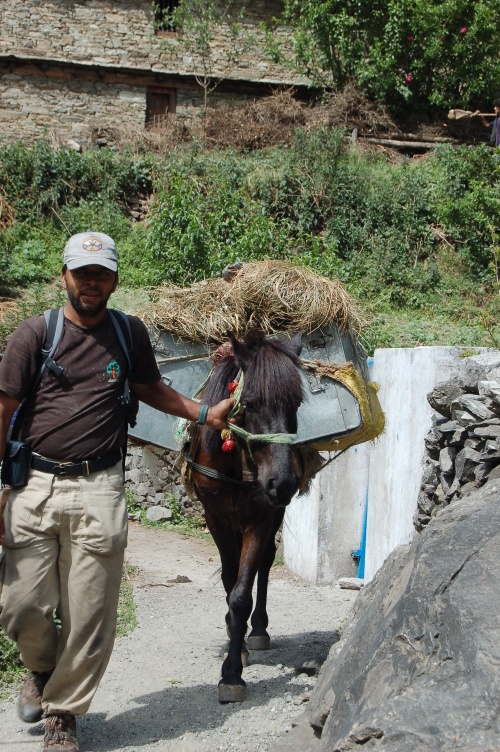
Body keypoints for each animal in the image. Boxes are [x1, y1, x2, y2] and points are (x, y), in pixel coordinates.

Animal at [185, 332, 304, 704]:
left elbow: (242, 591)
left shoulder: (262, 518)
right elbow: (229, 580)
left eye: (296, 405)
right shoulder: (216, 518)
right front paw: (233, 651)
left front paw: (232, 673)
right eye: (249, 404)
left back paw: (259, 629)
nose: (283, 483)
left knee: (264, 565)